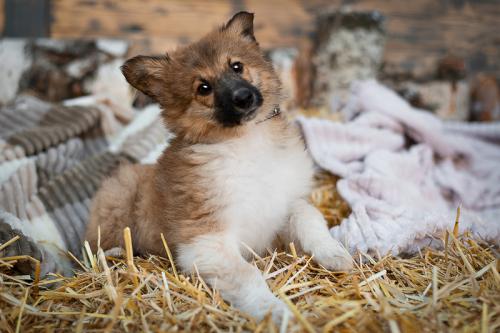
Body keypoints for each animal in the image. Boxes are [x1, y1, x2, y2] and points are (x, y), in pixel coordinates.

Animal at [86, 11, 352, 320]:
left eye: (237, 67)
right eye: (203, 88)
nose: (243, 98)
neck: (246, 143)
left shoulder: (286, 205)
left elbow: (310, 220)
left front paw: (334, 254)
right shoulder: (206, 240)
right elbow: (247, 276)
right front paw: (275, 312)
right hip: (118, 194)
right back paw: (117, 255)